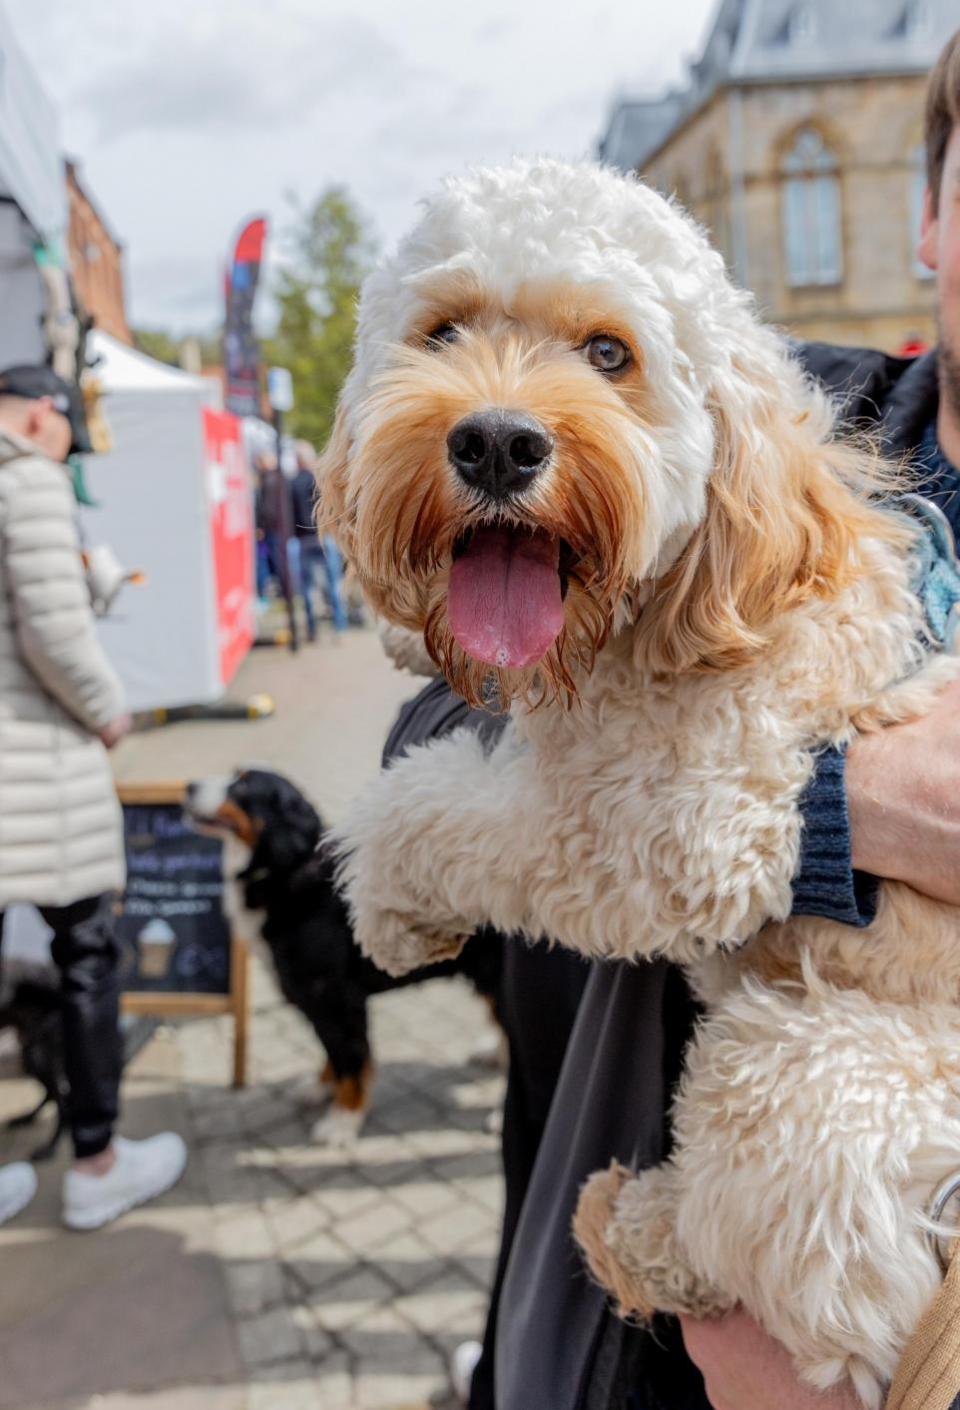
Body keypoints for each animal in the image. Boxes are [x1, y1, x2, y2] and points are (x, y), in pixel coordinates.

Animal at [183, 772, 504, 1144]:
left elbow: (350, 1058)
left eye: (243, 786)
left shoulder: (335, 997)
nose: (188, 785)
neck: (286, 871)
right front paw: (320, 1087)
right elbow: (330, 1051)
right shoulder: (312, 999)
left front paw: (342, 1120)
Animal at [320, 160, 958, 1404]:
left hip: (805, 1071)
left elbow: (435, 807)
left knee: (833, 1293)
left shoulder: (678, 828)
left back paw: (638, 1228)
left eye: (609, 352)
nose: (498, 444)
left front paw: (389, 900)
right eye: (444, 330)